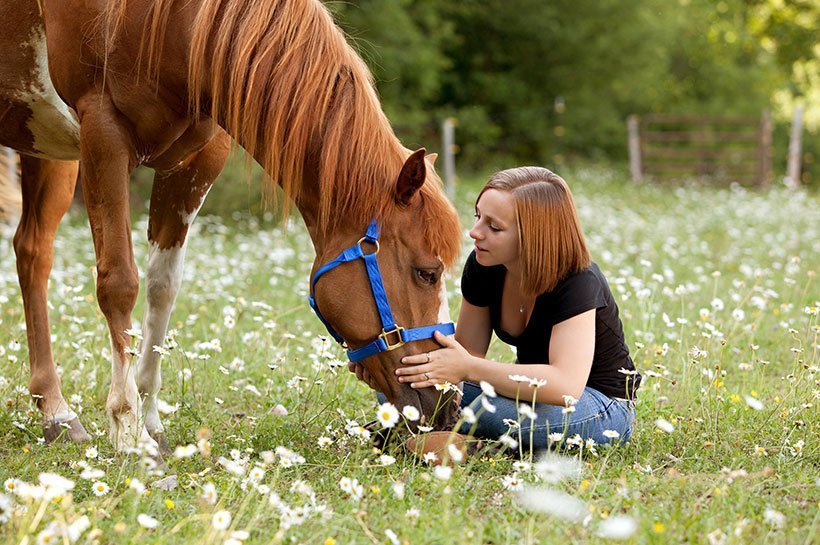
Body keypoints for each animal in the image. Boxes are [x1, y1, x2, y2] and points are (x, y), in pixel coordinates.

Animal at [0, 0, 462, 452]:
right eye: (427, 273)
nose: (449, 405)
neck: (171, 21)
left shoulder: (197, 160)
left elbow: (162, 288)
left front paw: (151, 421)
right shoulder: (103, 134)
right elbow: (119, 284)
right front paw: (129, 430)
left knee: (33, 253)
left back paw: (55, 412)